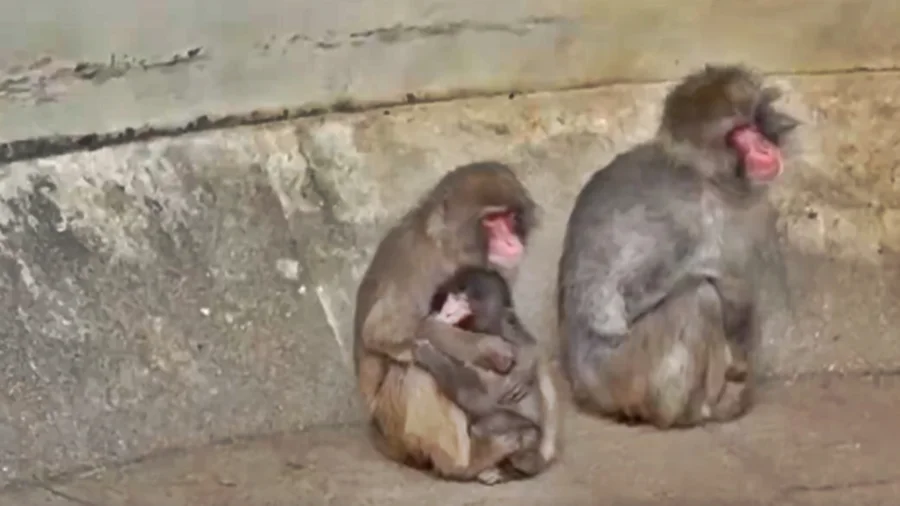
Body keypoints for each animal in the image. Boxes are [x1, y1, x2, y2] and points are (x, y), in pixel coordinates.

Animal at [412, 266, 560, 477]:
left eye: (465, 301)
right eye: (453, 296)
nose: (448, 308)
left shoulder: (509, 343)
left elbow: (477, 398)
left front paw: (428, 354)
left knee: (495, 427)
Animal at [556, 64, 799, 429]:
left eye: (755, 122)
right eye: (739, 133)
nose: (764, 147)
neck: (707, 177)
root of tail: (579, 387)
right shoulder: (686, 218)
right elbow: (613, 300)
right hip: (620, 375)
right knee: (699, 297)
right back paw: (688, 412)